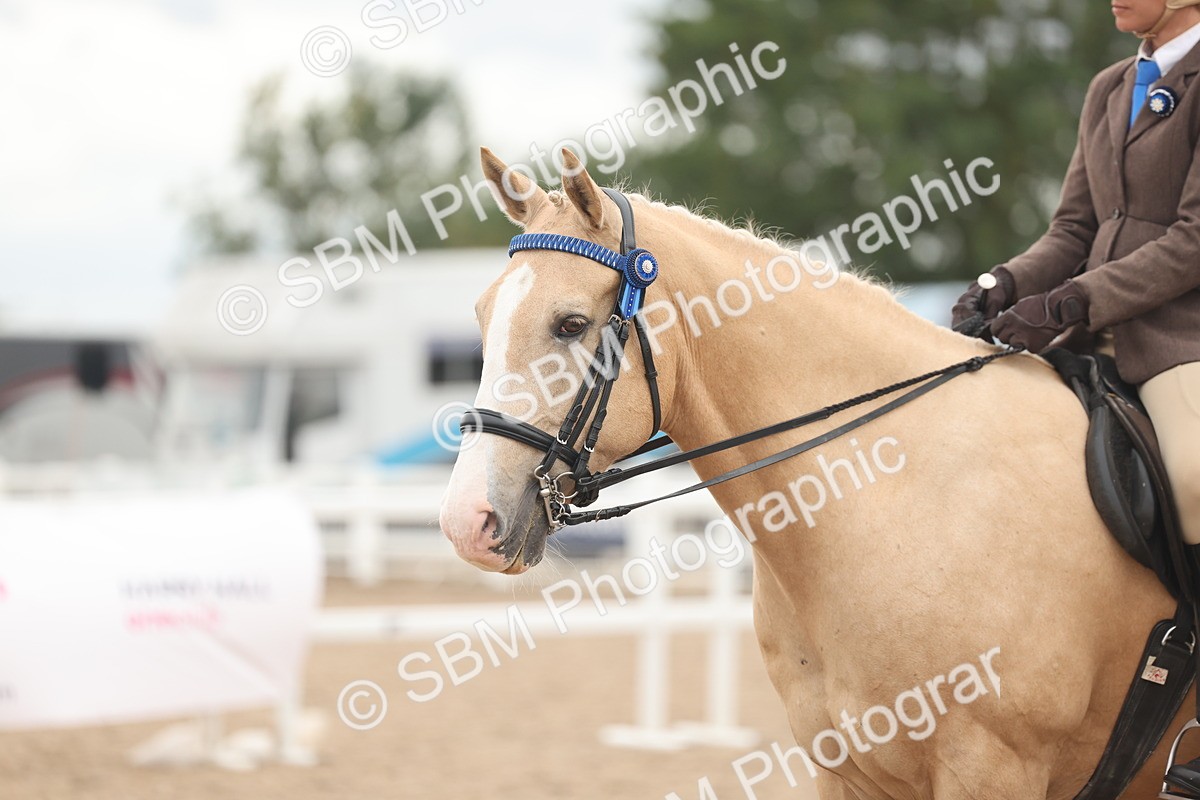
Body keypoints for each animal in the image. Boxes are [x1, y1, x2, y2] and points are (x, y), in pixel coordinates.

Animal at [439, 146, 1195, 799]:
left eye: (570, 323)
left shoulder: (992, 769)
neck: (891, 504)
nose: (466, 523)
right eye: (481, 315)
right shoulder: (845, 771)